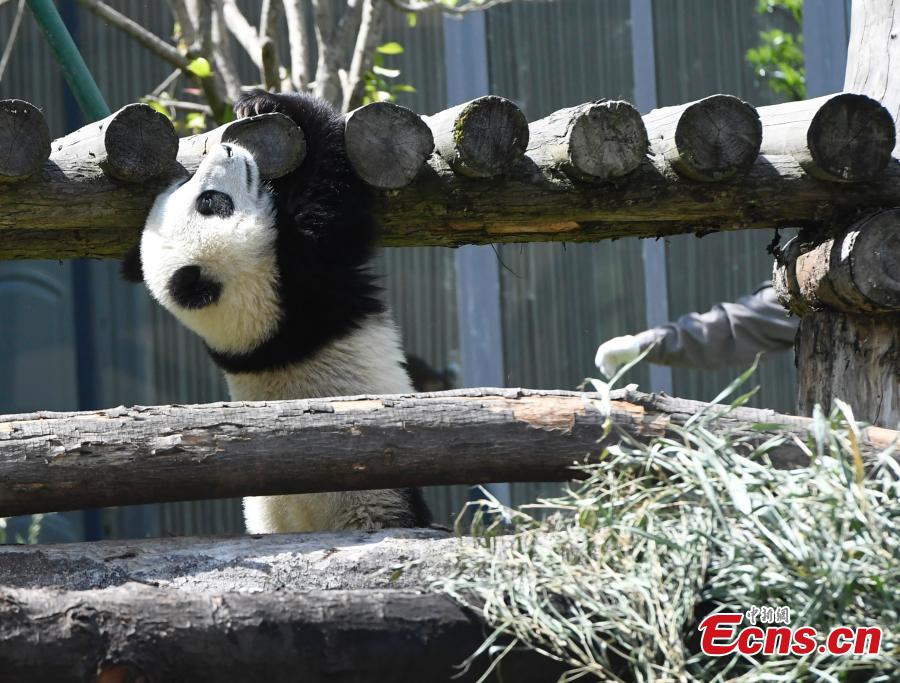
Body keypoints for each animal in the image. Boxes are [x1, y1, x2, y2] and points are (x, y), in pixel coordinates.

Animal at [123, 89, 432, 536]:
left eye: (191, 190)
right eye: (211, 202)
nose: (227, 149)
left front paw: (252, 104)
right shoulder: (306, 276)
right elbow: (331, 179)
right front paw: (274, 102)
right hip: (381, 492)